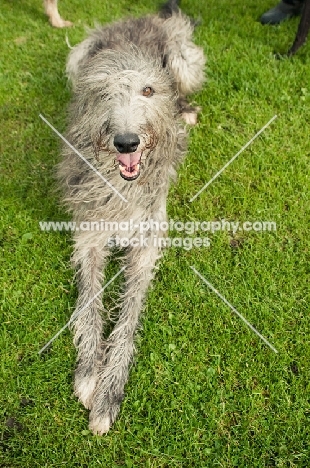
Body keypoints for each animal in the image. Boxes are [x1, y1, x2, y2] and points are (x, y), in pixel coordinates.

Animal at [58, 0, 206, 436]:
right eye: (103, 93)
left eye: (148, 91)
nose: (126, 142)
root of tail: (142, 17)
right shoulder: (90, 235)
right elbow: (90, 303)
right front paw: (89, 372)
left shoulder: (146, 244)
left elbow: (128, 316)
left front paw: (109, 391)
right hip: (77, 55)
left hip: (184, 60)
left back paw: (185, 111)